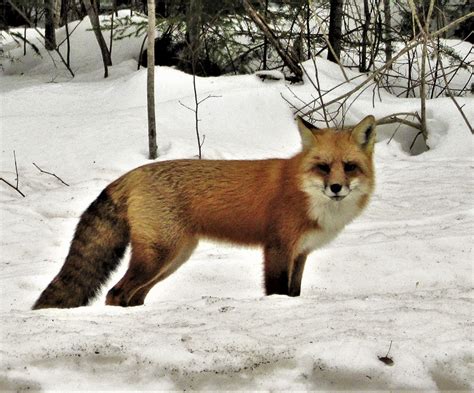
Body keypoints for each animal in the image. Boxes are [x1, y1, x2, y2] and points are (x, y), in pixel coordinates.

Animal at [32, 115, 378, 308]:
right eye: (323, 167)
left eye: (349, 167)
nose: (336, 188)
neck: (304, 193)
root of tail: (131, 173)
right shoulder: (278, 248)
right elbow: (277, 291)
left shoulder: (301, 254)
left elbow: (294, 292)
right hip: (159, 256)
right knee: (116, 294)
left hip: (173, 259)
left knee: (133, 297)